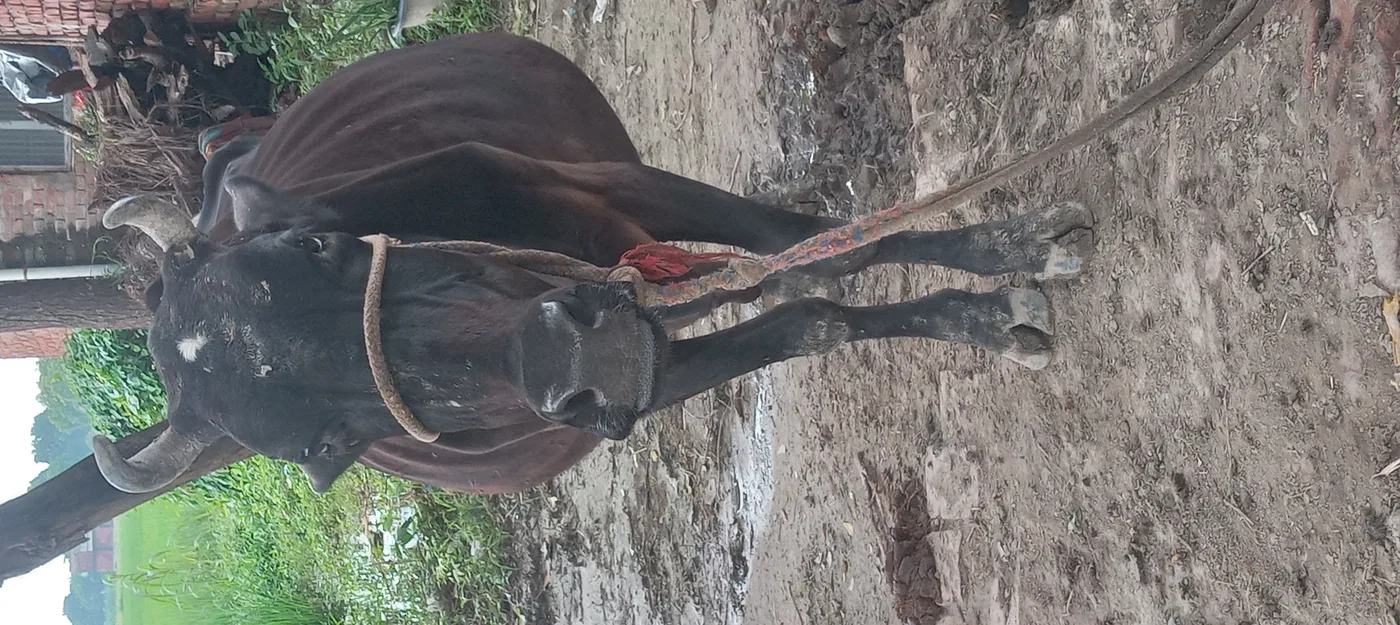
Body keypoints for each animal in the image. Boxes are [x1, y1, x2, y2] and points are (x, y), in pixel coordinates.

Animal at [92, 32, 1095, 498]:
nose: (572, 357)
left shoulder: (615, 193)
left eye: (320, 247)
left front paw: (1008, 251)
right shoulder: (633, 376)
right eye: (326, 446)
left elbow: (828, 237)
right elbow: (808, 319)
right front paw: (983, 310)